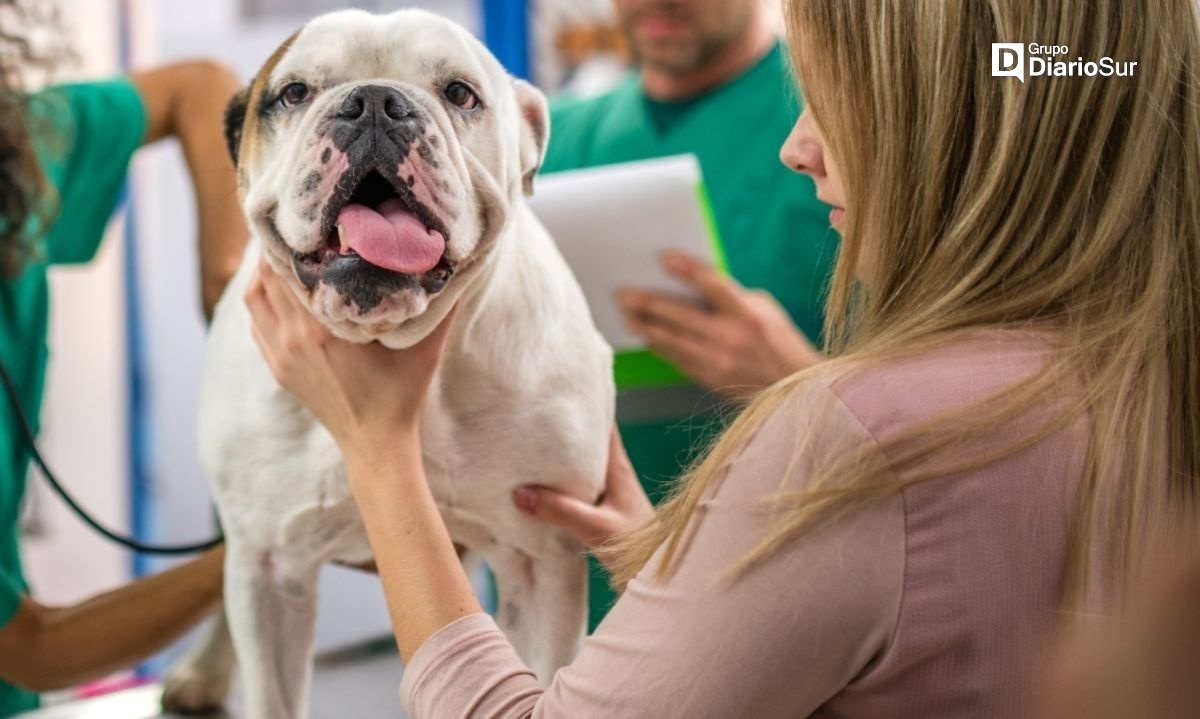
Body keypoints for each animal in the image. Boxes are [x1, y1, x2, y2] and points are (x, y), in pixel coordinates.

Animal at [159, 9, 609, 719]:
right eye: (293, 93)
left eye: (460, 94)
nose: (373, 102)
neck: (388, 342)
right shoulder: (270, 567)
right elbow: (269, 685)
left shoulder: (540, 559)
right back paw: (202, 672)